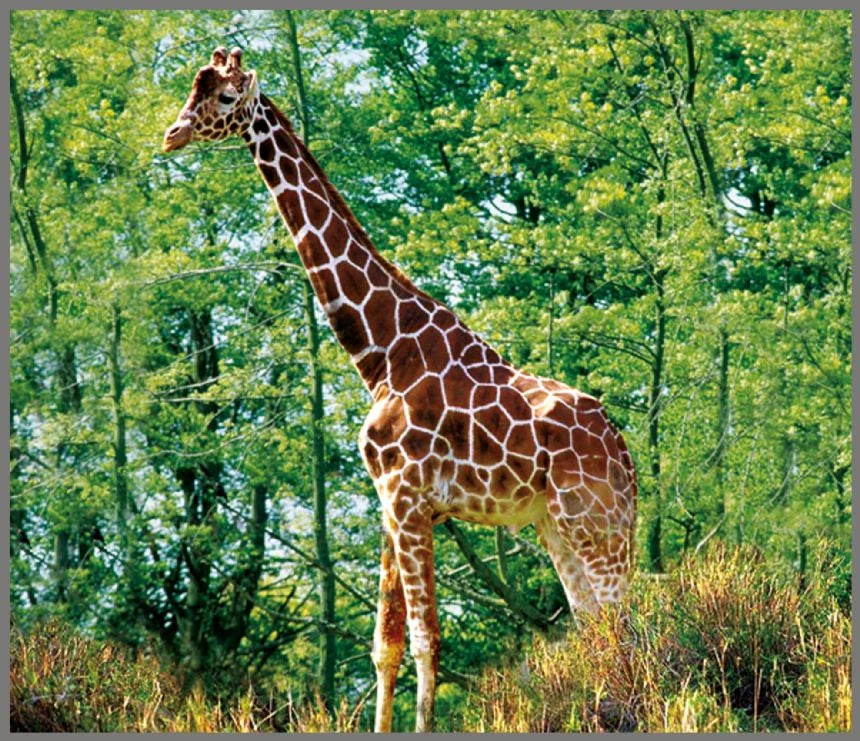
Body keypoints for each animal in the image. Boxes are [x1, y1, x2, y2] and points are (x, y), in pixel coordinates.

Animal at [164, 47, 637, 733]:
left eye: (225, 98)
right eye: (191, 89)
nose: (172, 134)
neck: (381, 351)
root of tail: (628, 458)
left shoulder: (410, 499)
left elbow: (423, 640)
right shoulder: (389, 501)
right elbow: (384, 645)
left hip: (597, 525)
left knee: (626, 628)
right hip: (557, 527)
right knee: (598, 626)